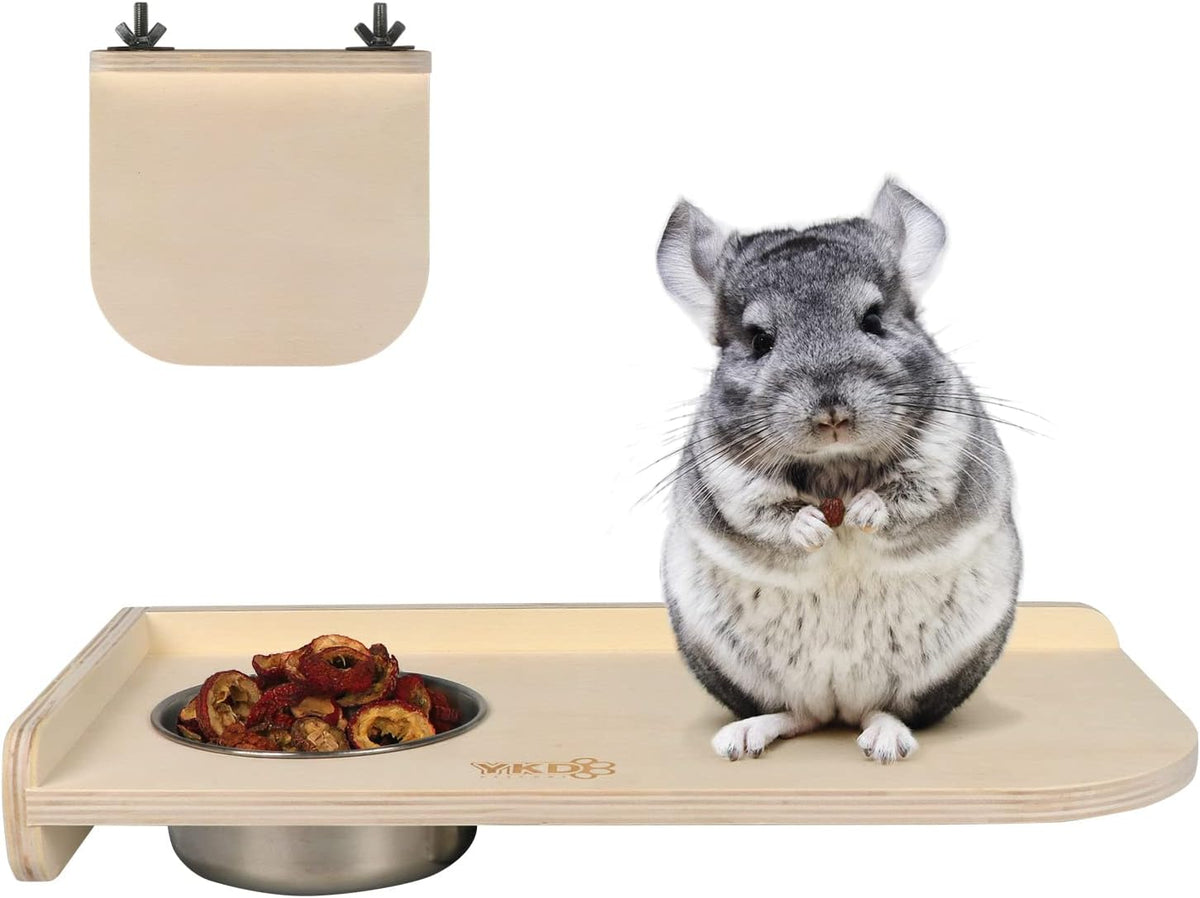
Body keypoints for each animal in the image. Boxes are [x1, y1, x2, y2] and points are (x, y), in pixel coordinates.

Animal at [656, 180, 1021, 763]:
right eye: (759, 340)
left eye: (873, 319)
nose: (832, 413)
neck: (836, 469)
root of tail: (839, 705)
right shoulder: (726, 480)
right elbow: (764, 513)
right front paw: (811, 528)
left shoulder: (948, 456)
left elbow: (910, 495)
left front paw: (865, 512)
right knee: (796, 715)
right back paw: (744, 736)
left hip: (931, 679)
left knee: (886, 709)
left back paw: (886, 741)